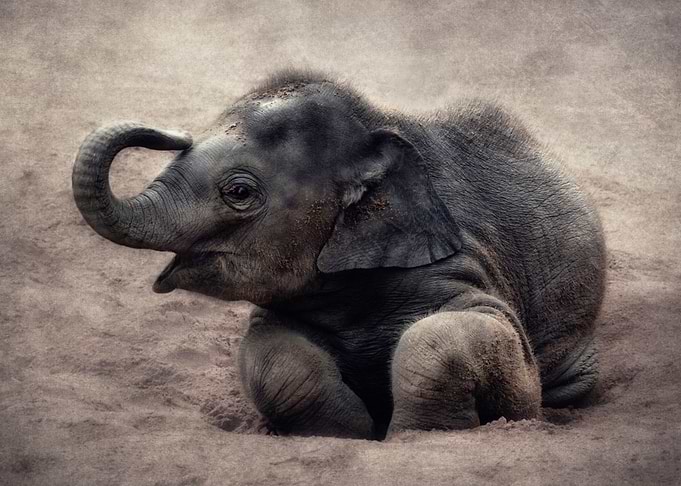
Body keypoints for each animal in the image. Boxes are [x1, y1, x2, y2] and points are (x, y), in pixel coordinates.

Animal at [72, 70, 605, 440]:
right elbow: (272, 357)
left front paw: (416, 436)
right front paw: (350, 433)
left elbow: (471, 330)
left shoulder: (460, 256)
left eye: (239, 192)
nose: (171, 133)